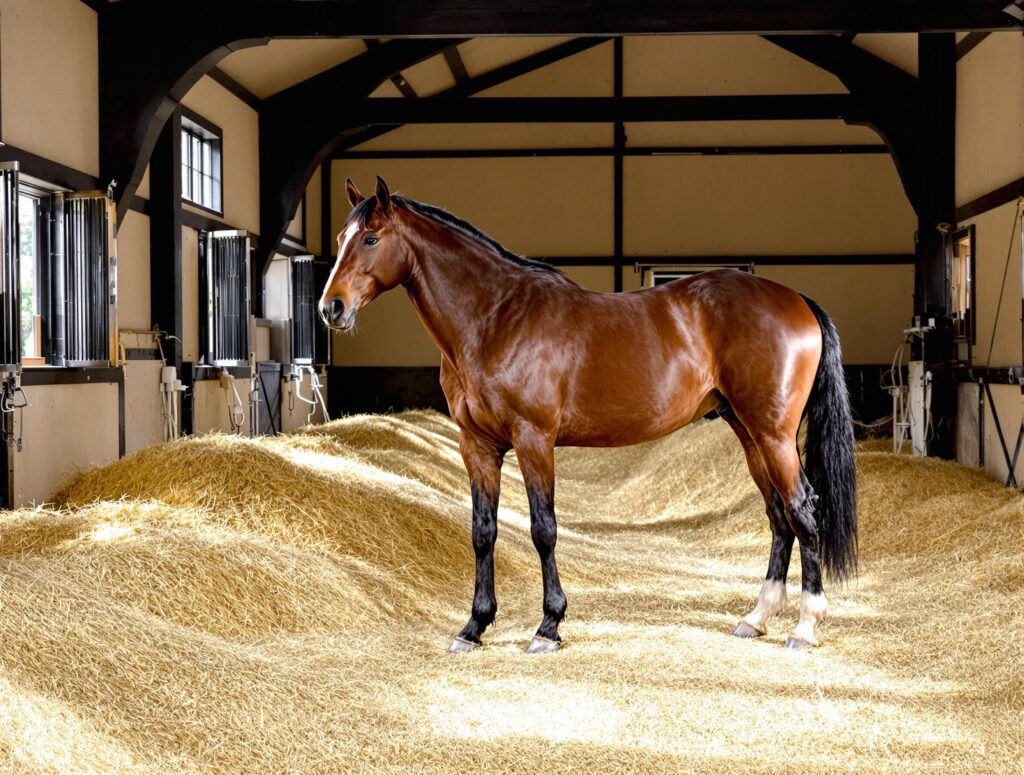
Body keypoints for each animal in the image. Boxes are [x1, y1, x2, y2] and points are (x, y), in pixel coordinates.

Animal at [320, 177, 857, 654]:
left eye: (370, 238)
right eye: (341, 239)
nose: (331, 308)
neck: (495, 318)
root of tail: (795, 299)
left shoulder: (534, 440)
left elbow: (543, 530)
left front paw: (548, 627)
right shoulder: (478, 446)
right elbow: (482, 532)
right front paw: (474, 627)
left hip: (773, 435)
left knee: (802, 510)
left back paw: (805, 627)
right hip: (748, 433)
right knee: (778, 517)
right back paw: (756, 618)